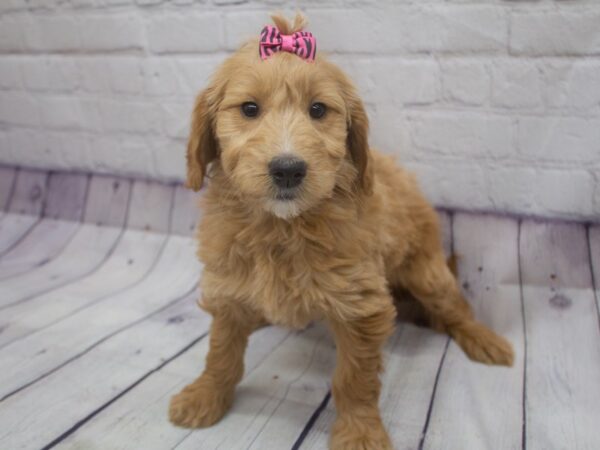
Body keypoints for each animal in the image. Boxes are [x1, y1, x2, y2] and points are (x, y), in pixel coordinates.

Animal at [168, 13, 510, 450]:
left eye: (318, 109)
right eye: (249, 109)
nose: (288, 169)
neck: (283, 226)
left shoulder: (361, 305)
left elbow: (354, 379)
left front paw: (360, 431)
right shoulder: (227, 287)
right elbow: (221, 351)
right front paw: (205, 395)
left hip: (428, 273)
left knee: (456, 308)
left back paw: (485, 340)